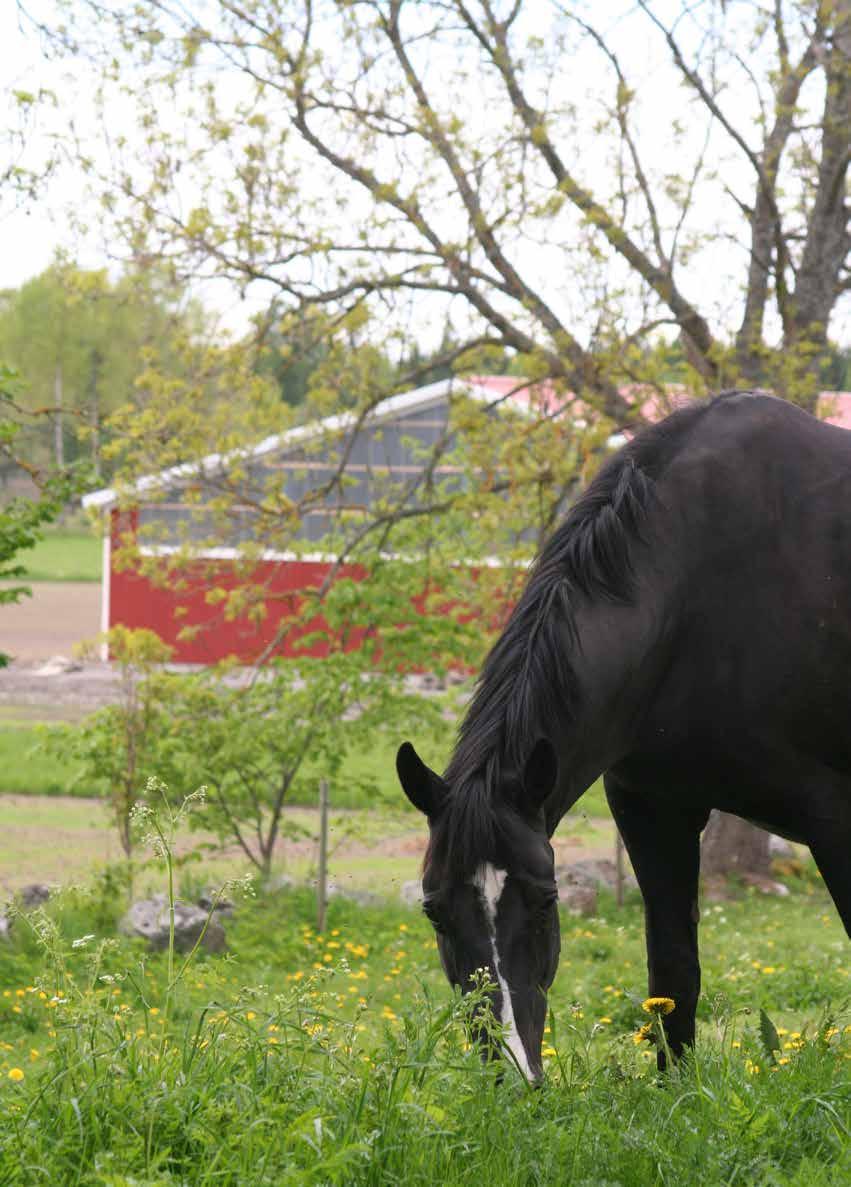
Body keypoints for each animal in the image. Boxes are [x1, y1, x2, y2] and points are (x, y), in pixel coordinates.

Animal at [394, 394, 849, 1082]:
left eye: (547, 899)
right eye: (433, 909)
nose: (514, 1074)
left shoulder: (836, 815)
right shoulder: (652, 808)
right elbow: (674, 974)